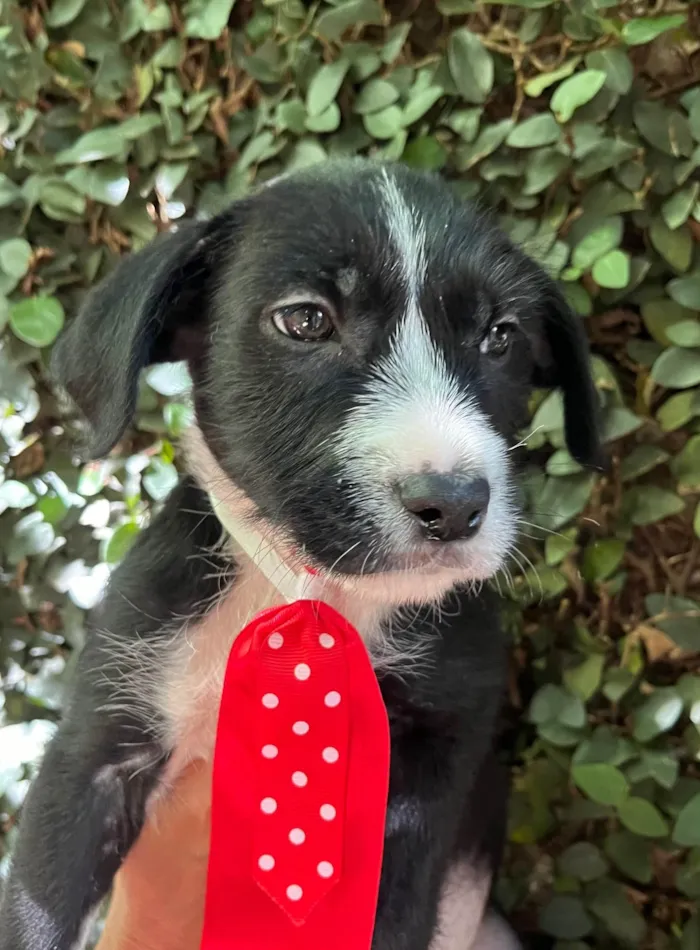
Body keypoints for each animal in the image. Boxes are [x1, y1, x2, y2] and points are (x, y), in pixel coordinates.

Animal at [0, 160, 600, 950]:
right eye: (307, 320)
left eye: (500, 336)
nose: (455, 505)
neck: (319, 594)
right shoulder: (96, 750)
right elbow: (37, 911)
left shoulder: (422, 787)